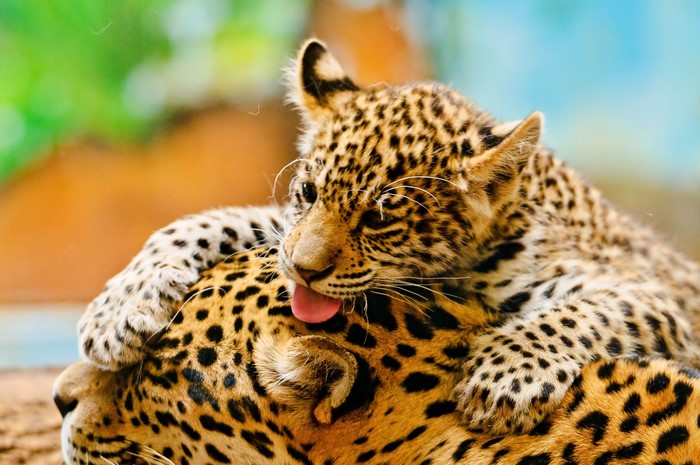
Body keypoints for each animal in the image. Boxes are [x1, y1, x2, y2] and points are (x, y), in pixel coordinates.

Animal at [77, 38, 700, 434]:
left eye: (379, 219)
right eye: (309, 193)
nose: (303, 272)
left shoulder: (662, 295)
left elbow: (584, 311)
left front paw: (503, 378)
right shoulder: (283, 228)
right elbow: (212, 220)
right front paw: (119, 310)